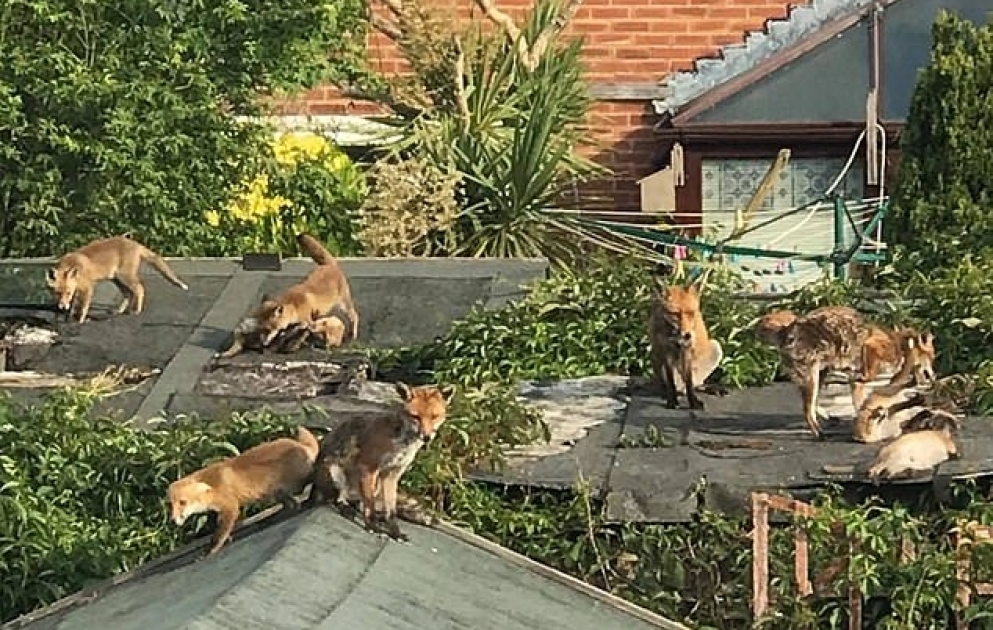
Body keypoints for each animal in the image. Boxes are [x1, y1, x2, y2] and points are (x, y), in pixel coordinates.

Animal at [46, 235, 189, 323]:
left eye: (68, 292)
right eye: (57, 293)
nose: (61, 306)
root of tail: (135, 243)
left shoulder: (87, 288)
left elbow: (83, 308)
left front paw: (80, 321)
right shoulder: (77, 290)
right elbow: (73, 307)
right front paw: (68, 317)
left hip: (125, 277)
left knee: (139, 289)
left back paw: (136, 311)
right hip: (116, 279)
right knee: (128, 294)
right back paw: (119, 311)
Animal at [167, 426, 320, 555]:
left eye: (182, 502)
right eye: (171, 505)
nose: (173, 520)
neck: (213, 487)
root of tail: (300, 445)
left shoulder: (230, 507)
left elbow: (220, 533)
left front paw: (211, 549)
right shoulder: (223, 511)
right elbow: (224, 528)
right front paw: (226, 540)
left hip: (298, 481)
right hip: (278, 492)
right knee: (292, 504)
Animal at [217, 233, 359, 358]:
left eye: (267, 329)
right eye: (261, 329)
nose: (263, 344)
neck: (294, 307)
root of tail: (329, 265)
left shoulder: (307, 321)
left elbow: (300, 329)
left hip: (344, 305)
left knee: (354, 316)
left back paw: (352, 334)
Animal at [308, 382, 449, 542]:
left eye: (434, 417)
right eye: (416, 417)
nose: (426, 437)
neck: (401, 445)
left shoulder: (391, 474)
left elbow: (390, 511)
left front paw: (395, 532)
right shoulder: (368, 467)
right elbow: (370, 506)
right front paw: (372, 527)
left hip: (375, 486)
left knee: (358, 504)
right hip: (336, 472)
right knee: (337, 499)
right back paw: (346, 509)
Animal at [648, 280, 723, 410]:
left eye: (691, 313)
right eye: (675, 314)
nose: (687, 335)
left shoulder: (687, 349)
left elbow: (689, 382)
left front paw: (693, 402)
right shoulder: (667, 350)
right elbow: (671, 382)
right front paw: (672, 401)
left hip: (715, 346)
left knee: (696, 383)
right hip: (655, 356)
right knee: (667, 384)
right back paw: (666, 392)